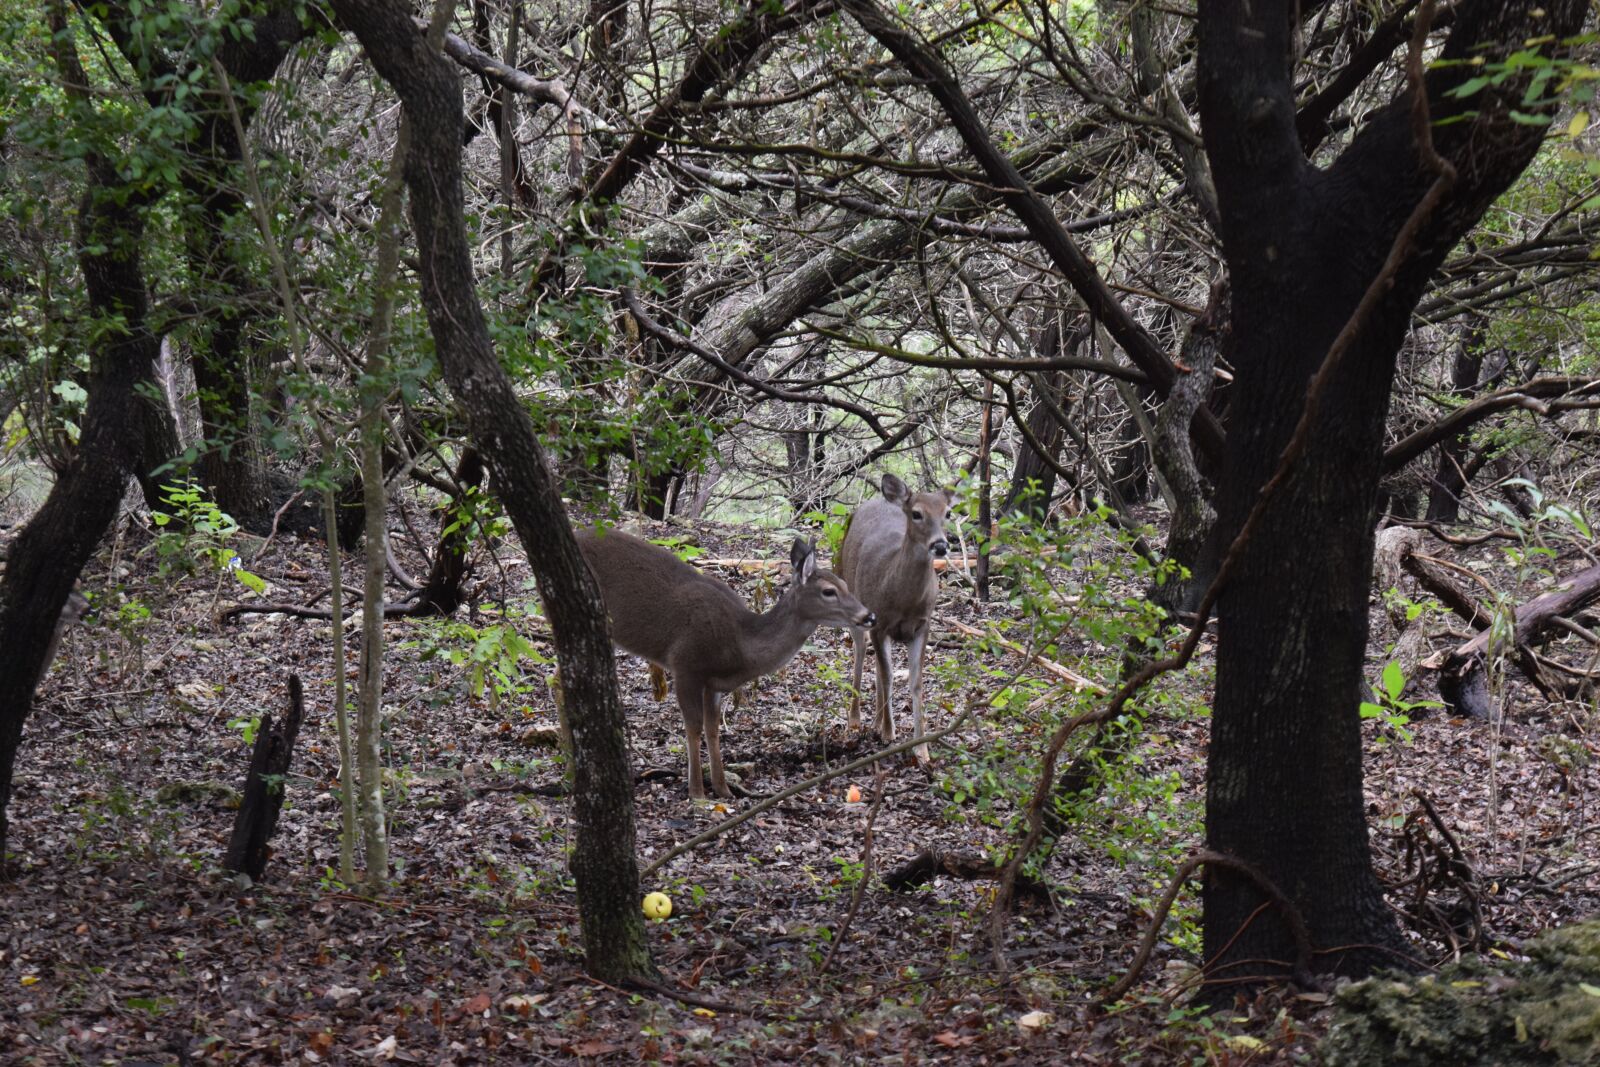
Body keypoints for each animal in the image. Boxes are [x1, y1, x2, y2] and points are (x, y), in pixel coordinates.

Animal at [575, 526, 873, 800]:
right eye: (828, 591)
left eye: (845, 584)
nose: (868, 615)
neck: (739, 645)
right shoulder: (685, 665)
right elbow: (693, 727)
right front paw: (697, 792)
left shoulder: (715, 685)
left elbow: (713, 729)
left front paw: (723, 789)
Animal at [837, 474, 954, 766]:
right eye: (917, 513)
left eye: (948, 512)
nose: (940, 545)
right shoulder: (879, 624)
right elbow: (888, 674)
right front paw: (889, 734)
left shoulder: (923, 625)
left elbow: (915, 681)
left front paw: (921, 748)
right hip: (851, 597)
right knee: (859, 655)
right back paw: (855, 720)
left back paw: (876, 721)